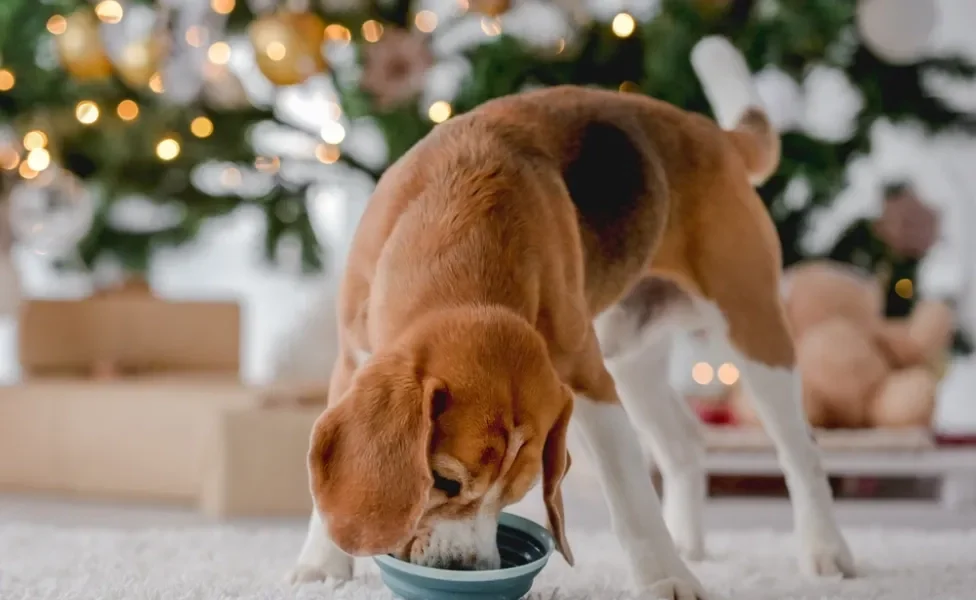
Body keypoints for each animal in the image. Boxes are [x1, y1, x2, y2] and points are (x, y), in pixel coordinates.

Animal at [290, 39, 856, 596]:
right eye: (445, 482)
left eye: (515, 494)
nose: (468, 569)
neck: (461, 235)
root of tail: (714, 135)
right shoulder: (354, 357)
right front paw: (321, 568)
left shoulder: (589, 382)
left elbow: (630, 493)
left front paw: (666, 578)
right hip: (631, 357)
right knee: (684, 443)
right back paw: (690, 543)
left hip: (750, 328)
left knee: (801, 450)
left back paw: (826, 552)